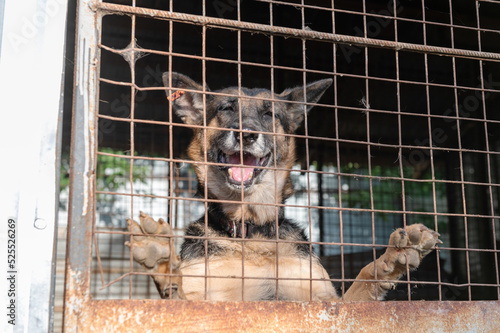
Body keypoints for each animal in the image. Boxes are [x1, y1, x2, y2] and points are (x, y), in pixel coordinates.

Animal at [126, 72, 442, 300]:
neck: (251, 232)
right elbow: (179, 296)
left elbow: (362, 282)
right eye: (226, 108)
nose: (246, 134)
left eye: (269, 114)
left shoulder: (328, 305)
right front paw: (163, 264)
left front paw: (394, 257)